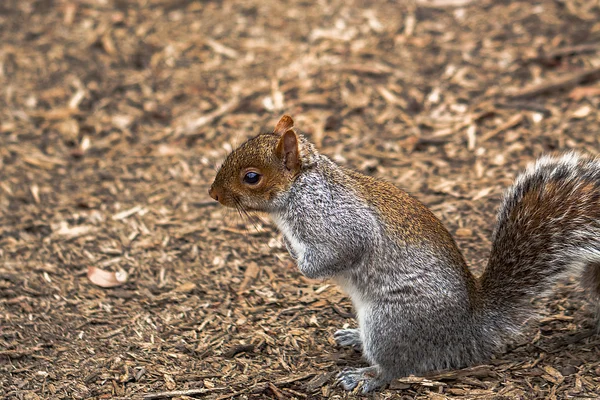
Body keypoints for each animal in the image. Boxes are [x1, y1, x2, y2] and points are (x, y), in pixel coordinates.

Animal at [207, 114, 600, 392]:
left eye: (252, 177)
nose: (213, 194)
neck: (303, 187)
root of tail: (468, 332)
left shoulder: (339, 224)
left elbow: (336, 254)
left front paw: (298, 260)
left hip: (392, 321)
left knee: (399, 368)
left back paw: (367, 377)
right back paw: (353, 337)